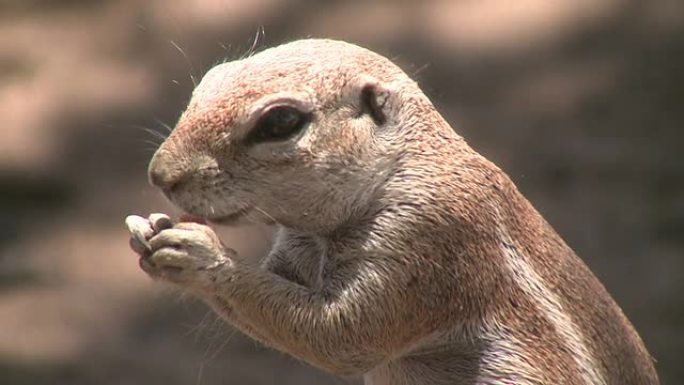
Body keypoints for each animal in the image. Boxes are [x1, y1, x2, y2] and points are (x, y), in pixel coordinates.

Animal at [125, 39, 660, 384]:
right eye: (209, 79)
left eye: (281, 122)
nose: (159, 175)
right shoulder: (296, 245)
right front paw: (148, 229)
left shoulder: (428, 238)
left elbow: (341, 334)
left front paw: (199, 254)